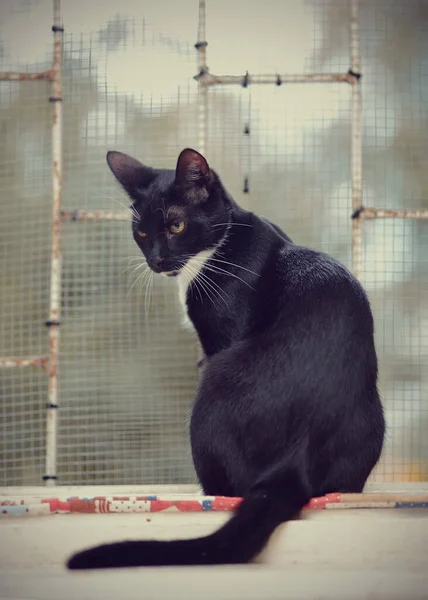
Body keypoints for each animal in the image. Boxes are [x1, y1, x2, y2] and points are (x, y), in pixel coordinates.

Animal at [67, 148, 384, 568]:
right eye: (141, 233)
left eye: (176, 225)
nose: (155, 260)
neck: (217, 249)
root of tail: (296, 460)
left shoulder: (222, 334)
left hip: (215, 383)